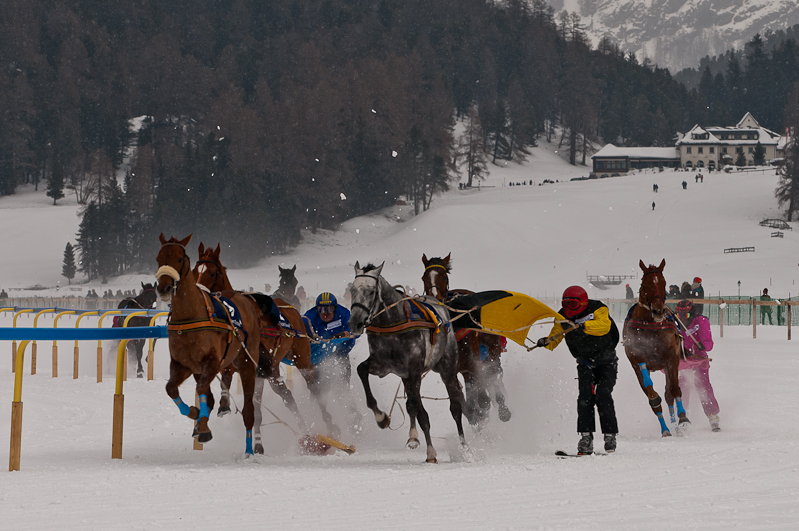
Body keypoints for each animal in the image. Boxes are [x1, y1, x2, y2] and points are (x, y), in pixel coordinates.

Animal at [152, 235, 260, 456]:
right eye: (158, 258)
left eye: (180, 258)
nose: (163, 288)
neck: (190, 317)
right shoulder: (184, 365)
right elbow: (171, 388)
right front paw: (194, 413)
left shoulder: (212, 362)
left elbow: (203, 388)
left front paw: (202, 427)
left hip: (247, 363)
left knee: (248, 410)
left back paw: (249, 451)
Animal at [195, 243, 342, 450]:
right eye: (195, 270)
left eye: (212, 272)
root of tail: (293, 310)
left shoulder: (255, 366)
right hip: (272, 370)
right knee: (287, 396)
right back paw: (305, 430)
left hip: (301, 359)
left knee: (314, 388)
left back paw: (329, 425)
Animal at [350, 264, 468, 464]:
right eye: (352, 290)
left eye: (371, 291)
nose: (355, 322)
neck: (392, 322)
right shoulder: (382, 365)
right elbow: (361, 370)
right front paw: (381, 418)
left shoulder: (414, 370)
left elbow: (421, 412)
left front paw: (431, 452)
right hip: (406, 376)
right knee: (413, 404)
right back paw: (413, 436)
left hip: (447, 369)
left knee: (455, 407)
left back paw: (463, 447)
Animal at [418, 256, 512, 426]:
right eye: (424, 278)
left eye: (444, 276)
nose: (434, 299)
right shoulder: (449, 373)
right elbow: (462, 405)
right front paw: (475, 416)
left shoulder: (472, 360)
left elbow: (483, 398)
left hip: (492, 351)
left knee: (494, 374)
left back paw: (503, 409)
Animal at [620, 260, 692, 438]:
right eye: (645, 285)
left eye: (663, 283)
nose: (658, 310)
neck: (650, 325)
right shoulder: (637, 357)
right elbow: (651, 392)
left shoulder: (671, 358)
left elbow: (674, 390)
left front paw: (683, 419)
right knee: (653, 397)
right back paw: (666, 428)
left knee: (669, 394)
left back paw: (675, 426)